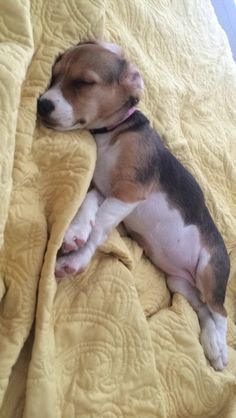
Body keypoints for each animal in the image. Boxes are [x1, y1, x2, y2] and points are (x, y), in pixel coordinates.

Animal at [37, 40, 230, 370]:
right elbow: (89, 205)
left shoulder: (130, 191)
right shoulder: (106, 190)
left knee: (221, 314)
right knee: (204, 311)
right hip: (180, 283)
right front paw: (75, 230)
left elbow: (100, 229)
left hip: (209, 269)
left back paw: (219, 347)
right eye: (54, 74)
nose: (41, 104)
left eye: (84, 82)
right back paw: (208, 341)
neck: (113, 132)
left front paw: (77, 258)